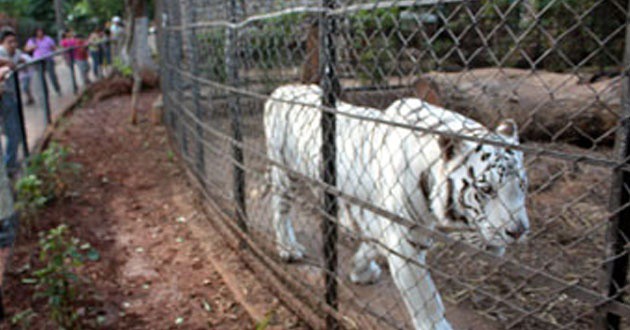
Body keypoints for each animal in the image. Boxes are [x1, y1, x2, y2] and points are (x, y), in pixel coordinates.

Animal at [264, 84, 532, 328]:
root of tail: (279, 90)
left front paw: (360, 271)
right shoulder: (405, 239)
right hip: (284, 172)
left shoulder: (389, 222)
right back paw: (288, 248)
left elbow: (371, 245)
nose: (518, 231)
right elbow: (426, 297)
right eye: (486, 190)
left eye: (522, 185)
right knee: (279, 208)